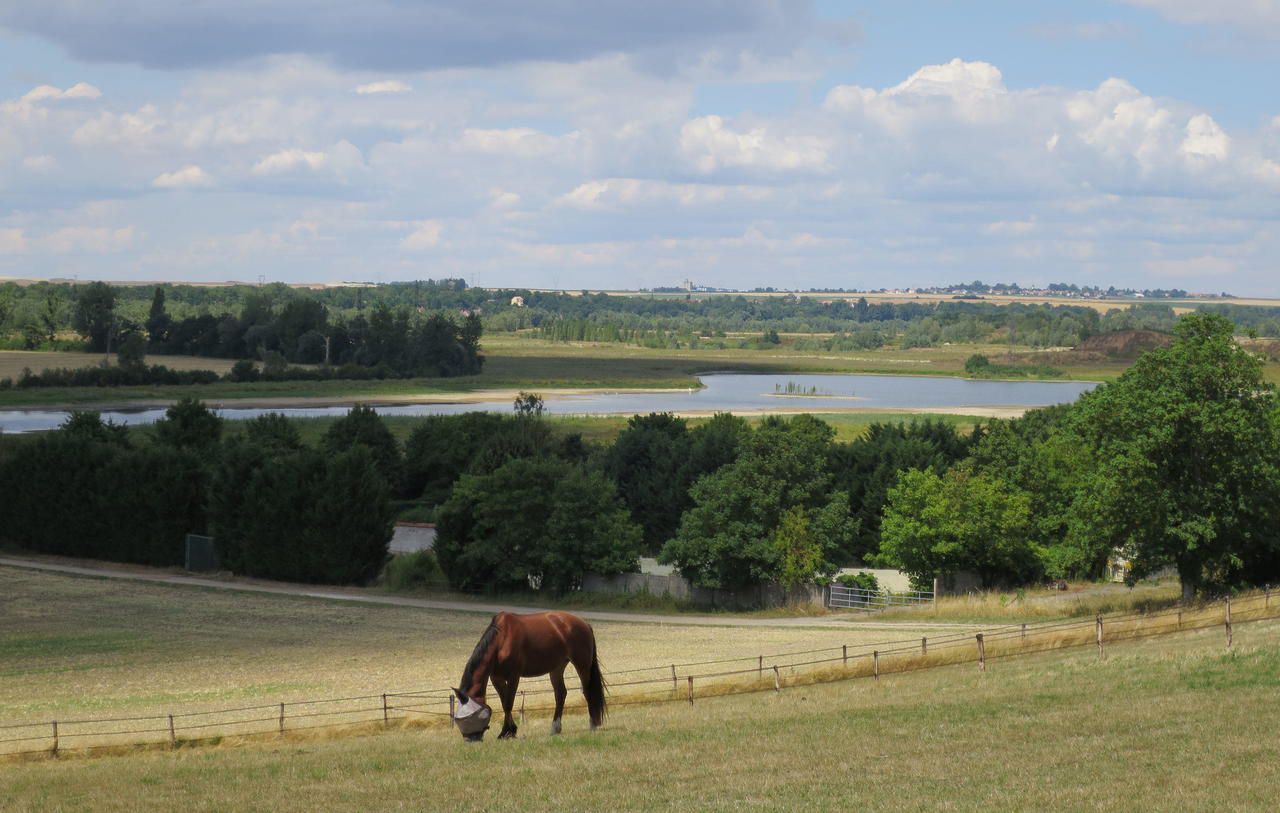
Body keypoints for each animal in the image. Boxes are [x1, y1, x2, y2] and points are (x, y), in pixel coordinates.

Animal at [453, 609, 606, 742]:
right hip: (556, 668)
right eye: (458, 719)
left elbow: (508, 703)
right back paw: (555, 728)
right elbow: (504, 703)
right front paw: (510, 730)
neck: (502, 639)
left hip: (582, 665)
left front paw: (506, 732)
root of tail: (584, 623)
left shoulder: (514, 676)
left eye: (468, 717)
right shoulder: (497, 678)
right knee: (560, 694)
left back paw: (593, 724)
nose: (469, 739)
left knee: (587, 691)